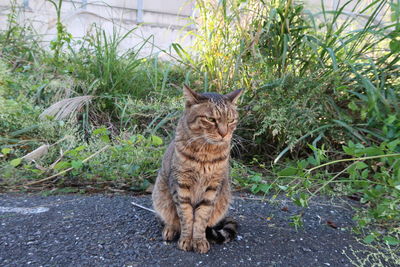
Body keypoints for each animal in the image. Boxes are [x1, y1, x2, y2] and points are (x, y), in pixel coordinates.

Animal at [152, 85, 242, 254]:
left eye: (231, 120)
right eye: (211, 119)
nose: (224, 133)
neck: (205, 154)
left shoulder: (213, 187)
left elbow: (201, 217)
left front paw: (199, 240)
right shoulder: (180, 184)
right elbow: (186, 215)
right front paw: (187, 239)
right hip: (160, 196)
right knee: (170, 219)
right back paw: (170, 229)